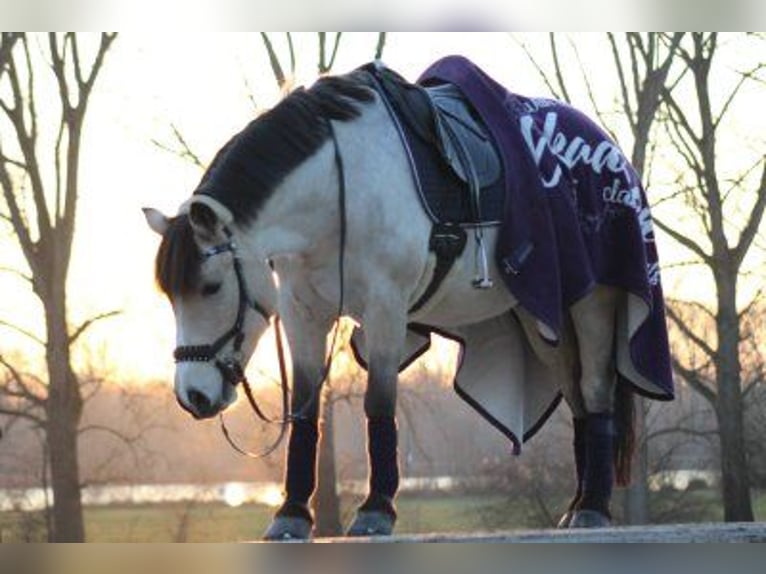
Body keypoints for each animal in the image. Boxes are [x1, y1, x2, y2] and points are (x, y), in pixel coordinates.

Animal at [143, 57, 673, 540]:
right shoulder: (302, 312)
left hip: (592, 304)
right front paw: (291, 515)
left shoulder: (386, 308)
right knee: (578, 396)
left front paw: (376, 510)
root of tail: (607, 147)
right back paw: (578, 505)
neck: (336, 190)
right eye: (169, 295)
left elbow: (379, 402)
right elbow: (306, 411)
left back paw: (594, 509)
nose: (193, 396)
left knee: (596, 390)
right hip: (545, 318)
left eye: (211, 287)